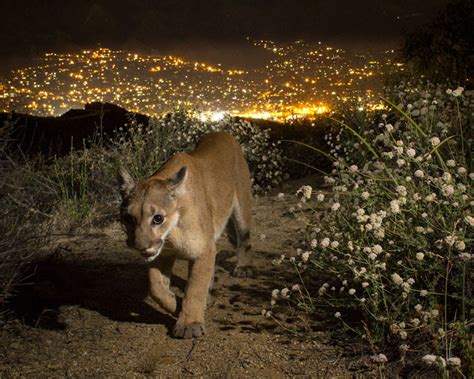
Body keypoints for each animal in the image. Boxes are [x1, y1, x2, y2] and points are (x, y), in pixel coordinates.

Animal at [117, 133, 254, 338]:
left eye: (158, 218)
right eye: (128, 218)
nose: (139, 246)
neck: (172, 231)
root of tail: (222, 133)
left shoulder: (203, 248)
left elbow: (194, 288)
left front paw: (190, 324)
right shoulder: (163, 254)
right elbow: (155, 285)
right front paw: (173, 303)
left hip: (241, 207)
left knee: (243, 238)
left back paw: (243, 267)